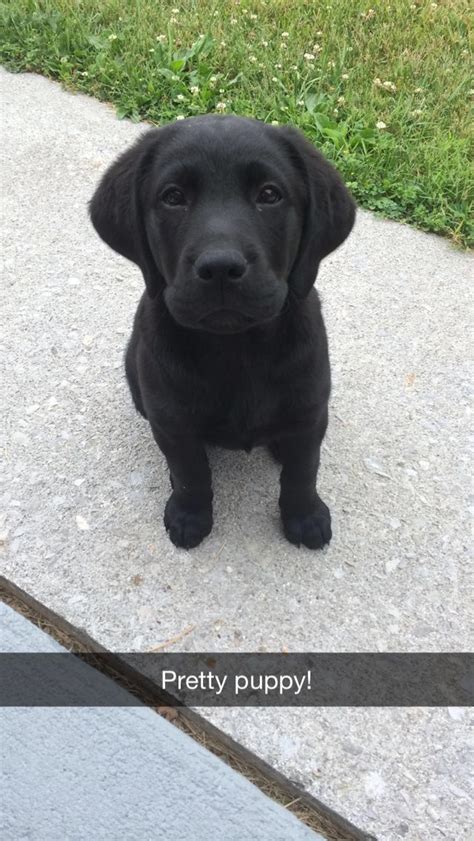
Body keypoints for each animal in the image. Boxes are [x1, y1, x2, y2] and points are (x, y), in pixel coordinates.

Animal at [90, 118, 356, 552]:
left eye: (269, 195)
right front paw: (188, 516)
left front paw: (305, 516)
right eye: (173, 197)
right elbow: (190, 472)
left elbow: (303, 469)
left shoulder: (310, 411)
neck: (237, 347)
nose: (219, 267)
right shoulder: (173, 421)